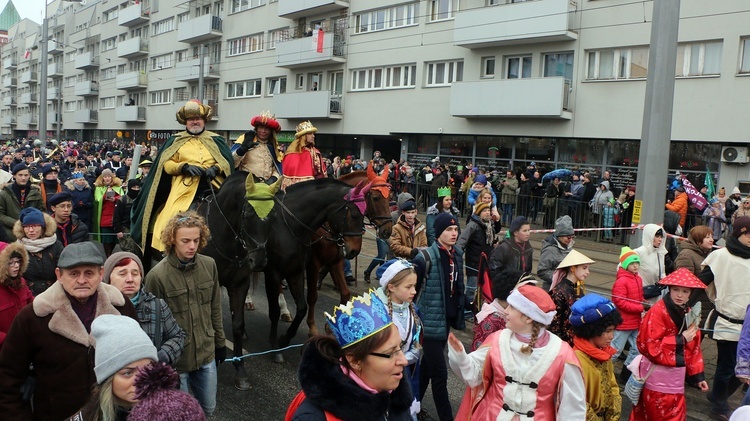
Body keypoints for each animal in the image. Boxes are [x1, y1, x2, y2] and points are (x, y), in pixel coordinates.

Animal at [197, 169, 282, 388]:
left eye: (273, 215)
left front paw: (240, 370)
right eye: (247, 214)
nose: (258, 260)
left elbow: (238, 324)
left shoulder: (239, 285)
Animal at [304, 162, 394, 334]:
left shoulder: (335, 261)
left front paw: (332, 324)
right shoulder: (314, 261)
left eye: (390, 198)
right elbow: (312, 296)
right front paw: (312, 326)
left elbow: (345, 294)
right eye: (376, 197)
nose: (387, 230)